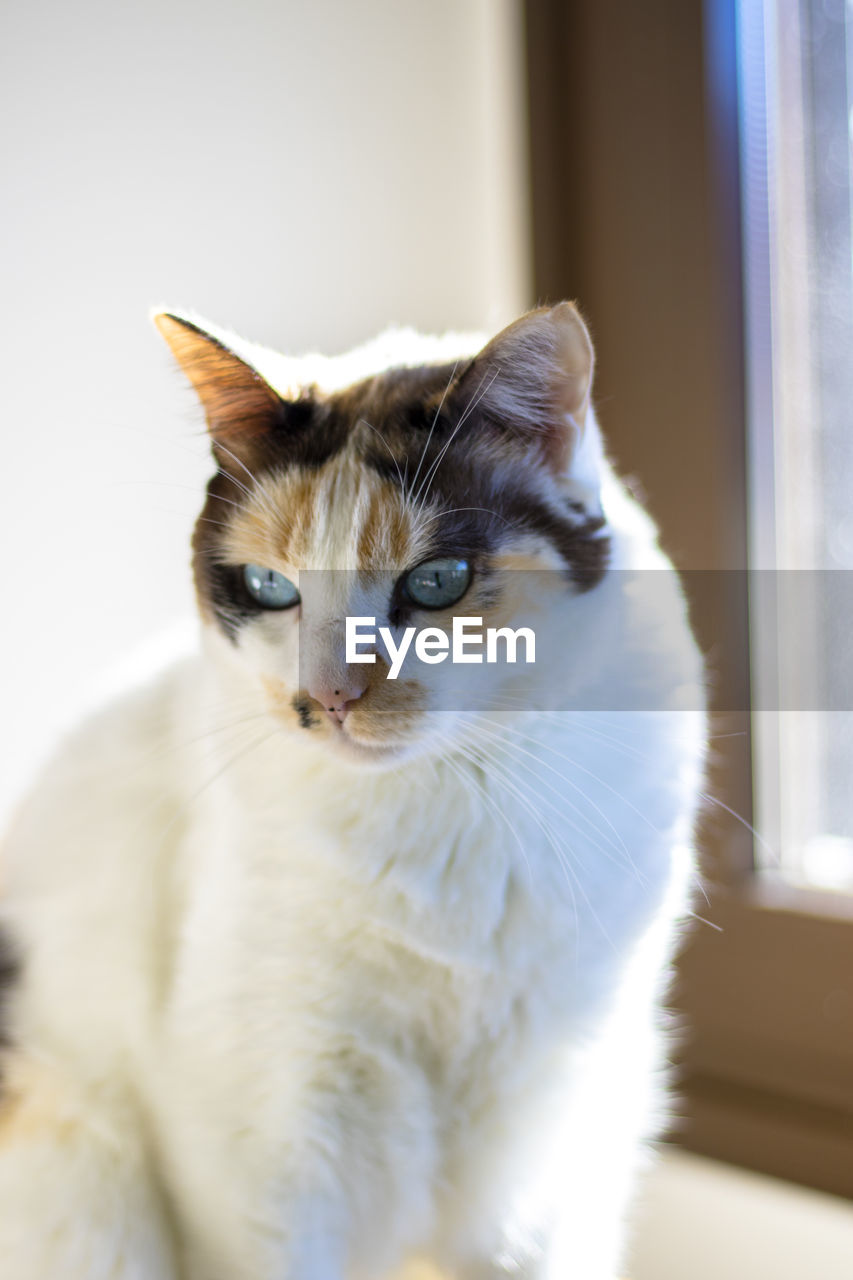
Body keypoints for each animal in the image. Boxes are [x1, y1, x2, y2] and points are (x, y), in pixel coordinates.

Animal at [0, 302, 701, 1280]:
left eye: (437, 583)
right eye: (268, 587)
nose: (327, 698)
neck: (453, 808)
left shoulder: (537, 1171)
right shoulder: (267, 1150)